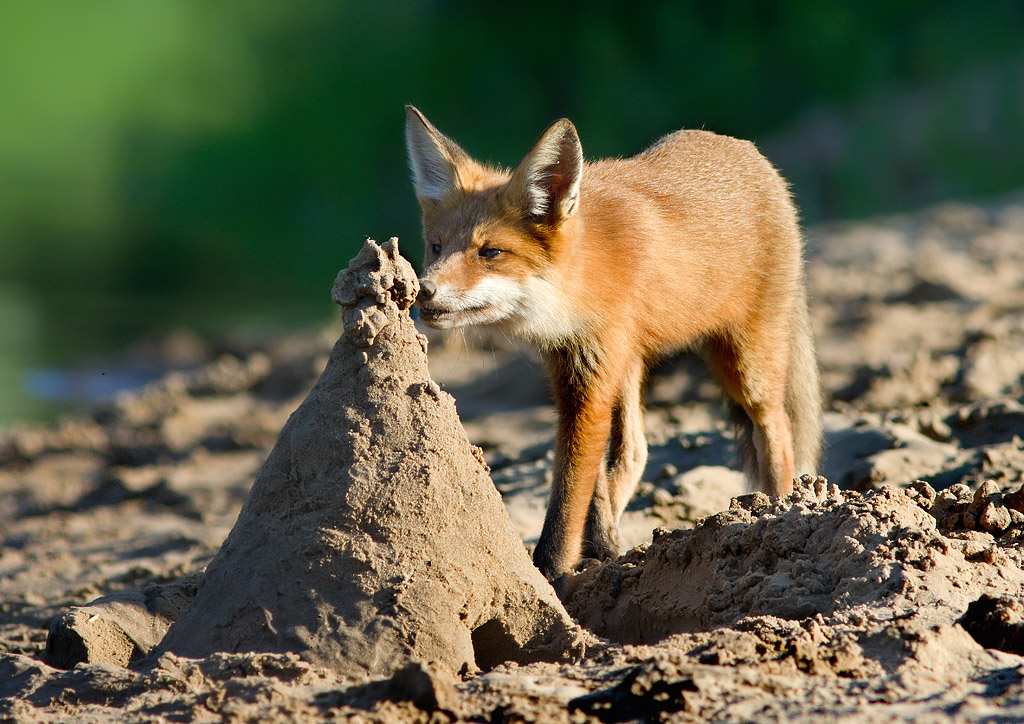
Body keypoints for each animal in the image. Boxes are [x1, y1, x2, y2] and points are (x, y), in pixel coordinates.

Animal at [403, 105, 819, 581]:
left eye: (490, 253)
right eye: (436, 247)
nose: (423, 290)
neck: (581, 279)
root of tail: (751, 153)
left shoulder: (591, 371)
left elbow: (570, 491)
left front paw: (552, 571)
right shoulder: (575, 366)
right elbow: (591, 477)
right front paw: (596, 549)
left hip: (746, 363)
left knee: (777, 430)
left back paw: (777, 512)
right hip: (634, 364)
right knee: (636, 452)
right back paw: (610, 542)